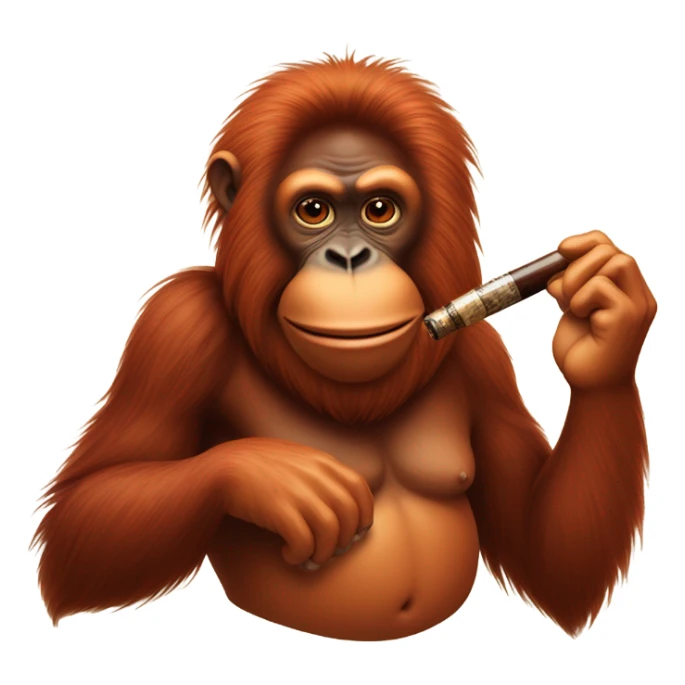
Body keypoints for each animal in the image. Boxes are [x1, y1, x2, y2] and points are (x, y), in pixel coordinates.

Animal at [32, 55, 656, 641]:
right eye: (314, 210)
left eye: (381, 209)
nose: (351, 258)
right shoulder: (176, 327)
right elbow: (81, 522)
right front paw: (276, 479)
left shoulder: (485, 357)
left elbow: (549, 560)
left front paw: (604, 313)